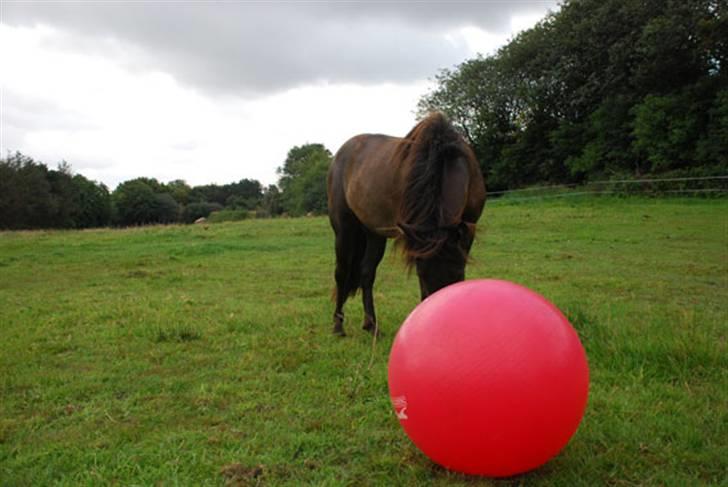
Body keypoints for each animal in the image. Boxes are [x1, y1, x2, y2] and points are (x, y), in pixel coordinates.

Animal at [328, 112, 486, 338]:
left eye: (458, 273)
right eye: (422, 275)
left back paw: (371, 325)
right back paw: (338, 327)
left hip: (374, 233)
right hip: (344, 230)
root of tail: (340, 154)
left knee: (367, 273)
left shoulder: (467, 230)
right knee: (341, 274)